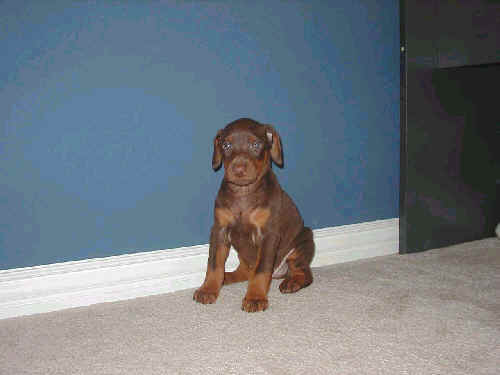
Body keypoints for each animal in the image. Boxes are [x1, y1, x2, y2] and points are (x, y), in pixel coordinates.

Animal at [193, 119, 314, 312]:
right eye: (226, 145)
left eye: (256, 145)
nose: (238, 169)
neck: (244, 192)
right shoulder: (219, 230)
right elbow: (214, 263)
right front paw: (208, 289)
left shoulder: (269, 235)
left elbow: (261, 269)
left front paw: (255, 297)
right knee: (245, 271)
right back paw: (226, 278)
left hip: (303, 240)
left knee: (304, 271)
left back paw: (292, 282)